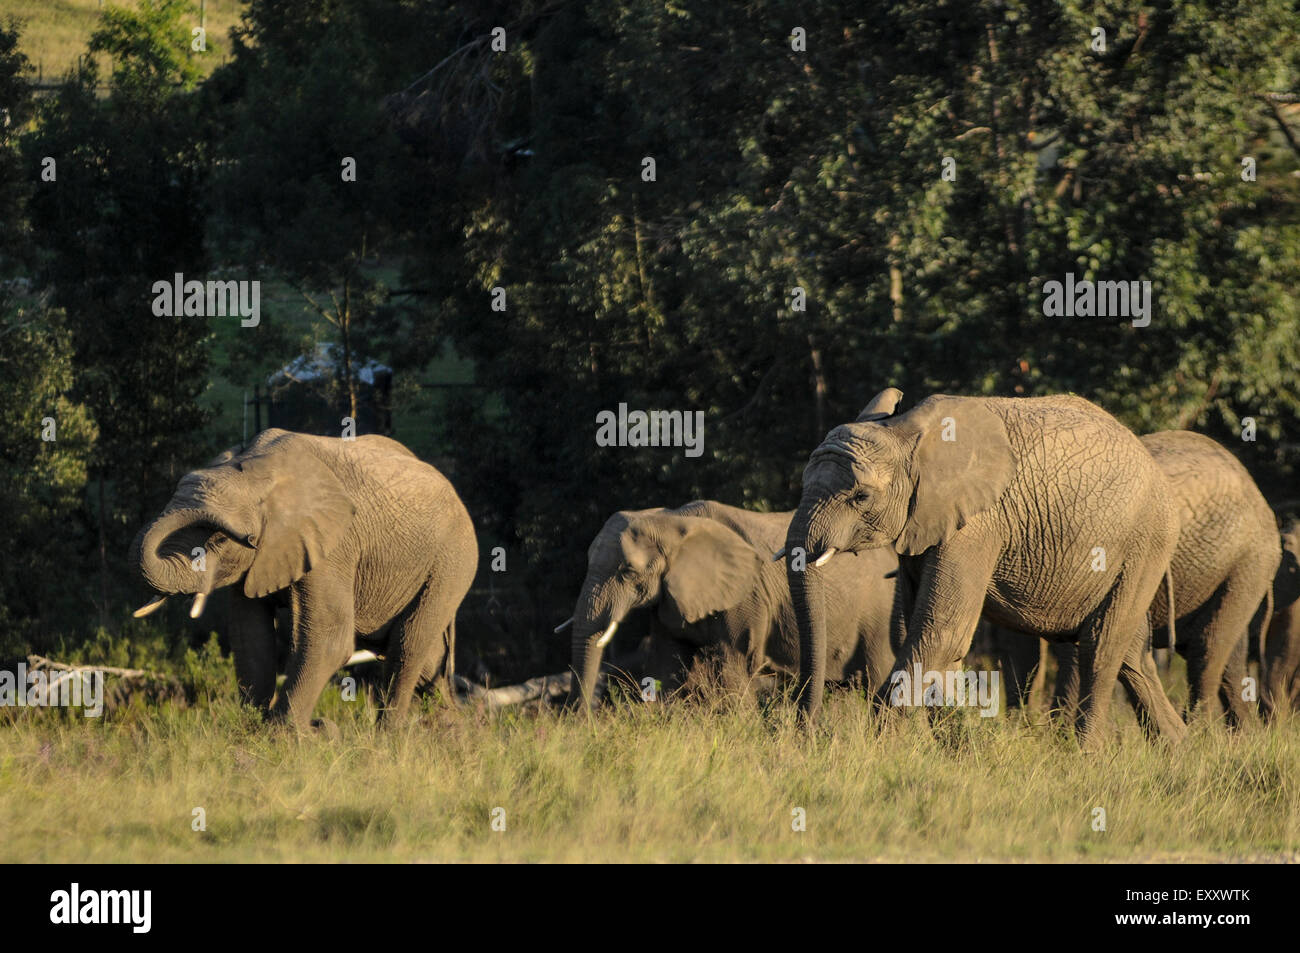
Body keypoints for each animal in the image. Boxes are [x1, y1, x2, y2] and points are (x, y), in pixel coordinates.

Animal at [130, 428, 478, 728]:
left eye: (218, 539)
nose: (248, 538)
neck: (258, 472)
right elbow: (249, 638)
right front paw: (250, 731)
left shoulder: (334, 546)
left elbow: (329, 638)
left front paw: (289, 735)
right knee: (427, 659)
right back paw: (453, 734)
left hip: (452, 562)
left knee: (408, 646)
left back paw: (391, 739)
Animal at [565, 500, 898, 708]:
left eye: (627, 571)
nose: (583, 724)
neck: (671, 520)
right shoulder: (668, 602)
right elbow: (666, 665)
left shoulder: (746, 598)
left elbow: (732, 669)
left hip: (880, 618)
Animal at [784, 387, 1186, 750]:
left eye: (861, 497)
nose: (808, 735)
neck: (905, 434)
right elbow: (927, 635)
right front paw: (959, 750)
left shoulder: (976, 526)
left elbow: (941, 631)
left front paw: (881, 751)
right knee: (1132, 655)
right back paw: (1179, 751)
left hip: (1145, 543)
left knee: (1101, 647)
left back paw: (1087, 755)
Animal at [996, 431, 1281, 728]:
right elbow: (1016, 645)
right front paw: (1018, 731)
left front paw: (1055, 732)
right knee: (1226, 659)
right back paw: (1242, 734)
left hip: (1248, 563)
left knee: (1207, 651)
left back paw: (1201, 731)